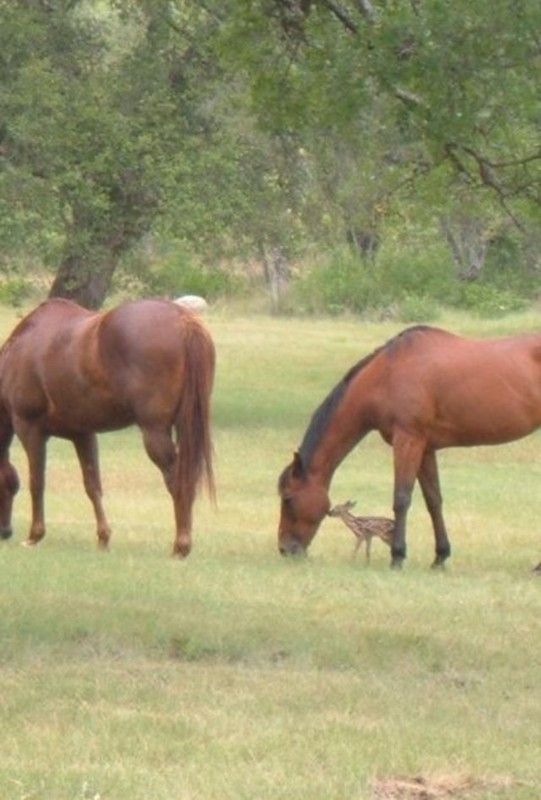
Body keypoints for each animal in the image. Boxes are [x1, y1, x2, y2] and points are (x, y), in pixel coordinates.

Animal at [0, 298, 214, 556]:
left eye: (10, 488)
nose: (5, 532)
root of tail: (183, 319)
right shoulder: (83, 434)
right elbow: (92, 485)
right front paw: (103, 537)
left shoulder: (30, 429)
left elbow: (37, 482)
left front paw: (35, 535)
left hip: (155, 433)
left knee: (177, 479)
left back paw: (180, 545)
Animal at [278, 322, 540, 572]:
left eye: (288, 498)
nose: (285, 549)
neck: (387, 375)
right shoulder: (425, 448)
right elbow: (433, 500)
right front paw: (440, 557)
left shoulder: (407, 441)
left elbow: (401, 498)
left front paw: (397, 556)